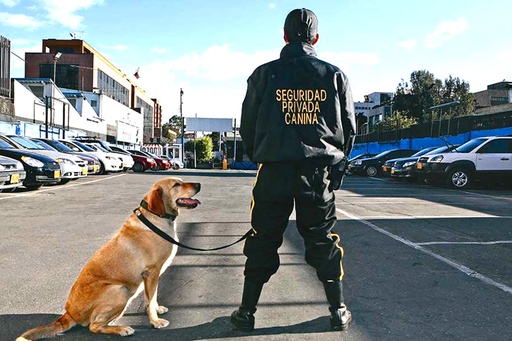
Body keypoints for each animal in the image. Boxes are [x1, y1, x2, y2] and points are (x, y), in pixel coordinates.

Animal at [16, 177, 200, 338]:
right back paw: (122, 329)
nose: (199, 184)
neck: (156, 218)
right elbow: (151, 298)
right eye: (176, 185)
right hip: (120, 290)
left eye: (181, 181)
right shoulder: (151, 272)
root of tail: (69, 314)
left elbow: (151, 298)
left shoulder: (151, 276)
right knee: (94, 326)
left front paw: (157, 309)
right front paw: (155, 321)